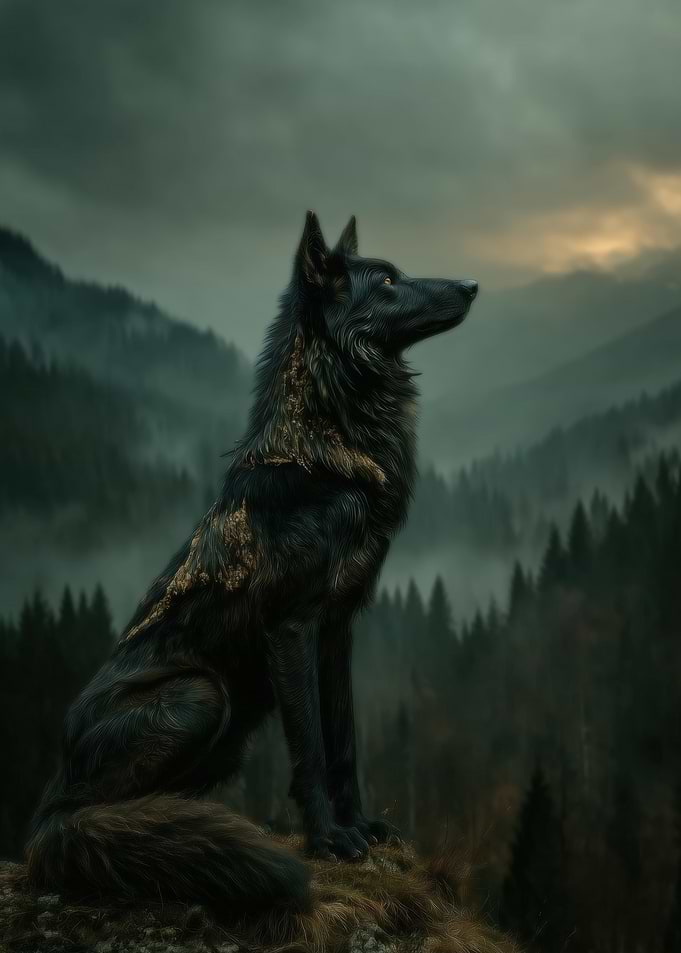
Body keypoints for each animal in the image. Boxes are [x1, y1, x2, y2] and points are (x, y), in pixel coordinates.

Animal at [26, 212, 478, 913]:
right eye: (387, 281)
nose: (472, 285)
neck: (329, 453)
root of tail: (49, 797)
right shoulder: (291, 627)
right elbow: (312, 748)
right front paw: (328, 839)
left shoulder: (338, 628)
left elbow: (344, 741)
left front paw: (358, 825)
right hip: (200, 694)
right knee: (90, 813)